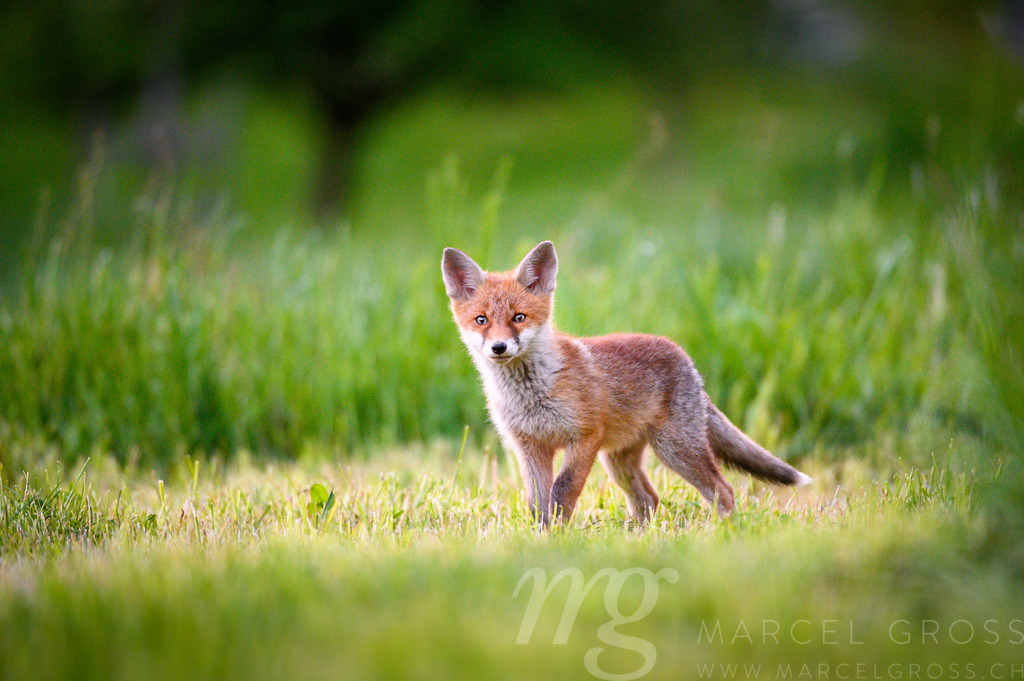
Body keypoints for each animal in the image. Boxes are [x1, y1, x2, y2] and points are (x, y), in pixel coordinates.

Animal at [442, 240, 810, 525]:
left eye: (519, 318)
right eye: (481, 320)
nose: (499, 348)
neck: (533, 392)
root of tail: (685, 359)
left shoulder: (585, 437)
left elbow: (562, 491)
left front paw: (557, 536)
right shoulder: (530, 447)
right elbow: (537, 504)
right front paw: (540, 537)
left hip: (675, 449)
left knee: (723, 490)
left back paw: (722, 532)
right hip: (619, 460)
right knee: (649, 498)